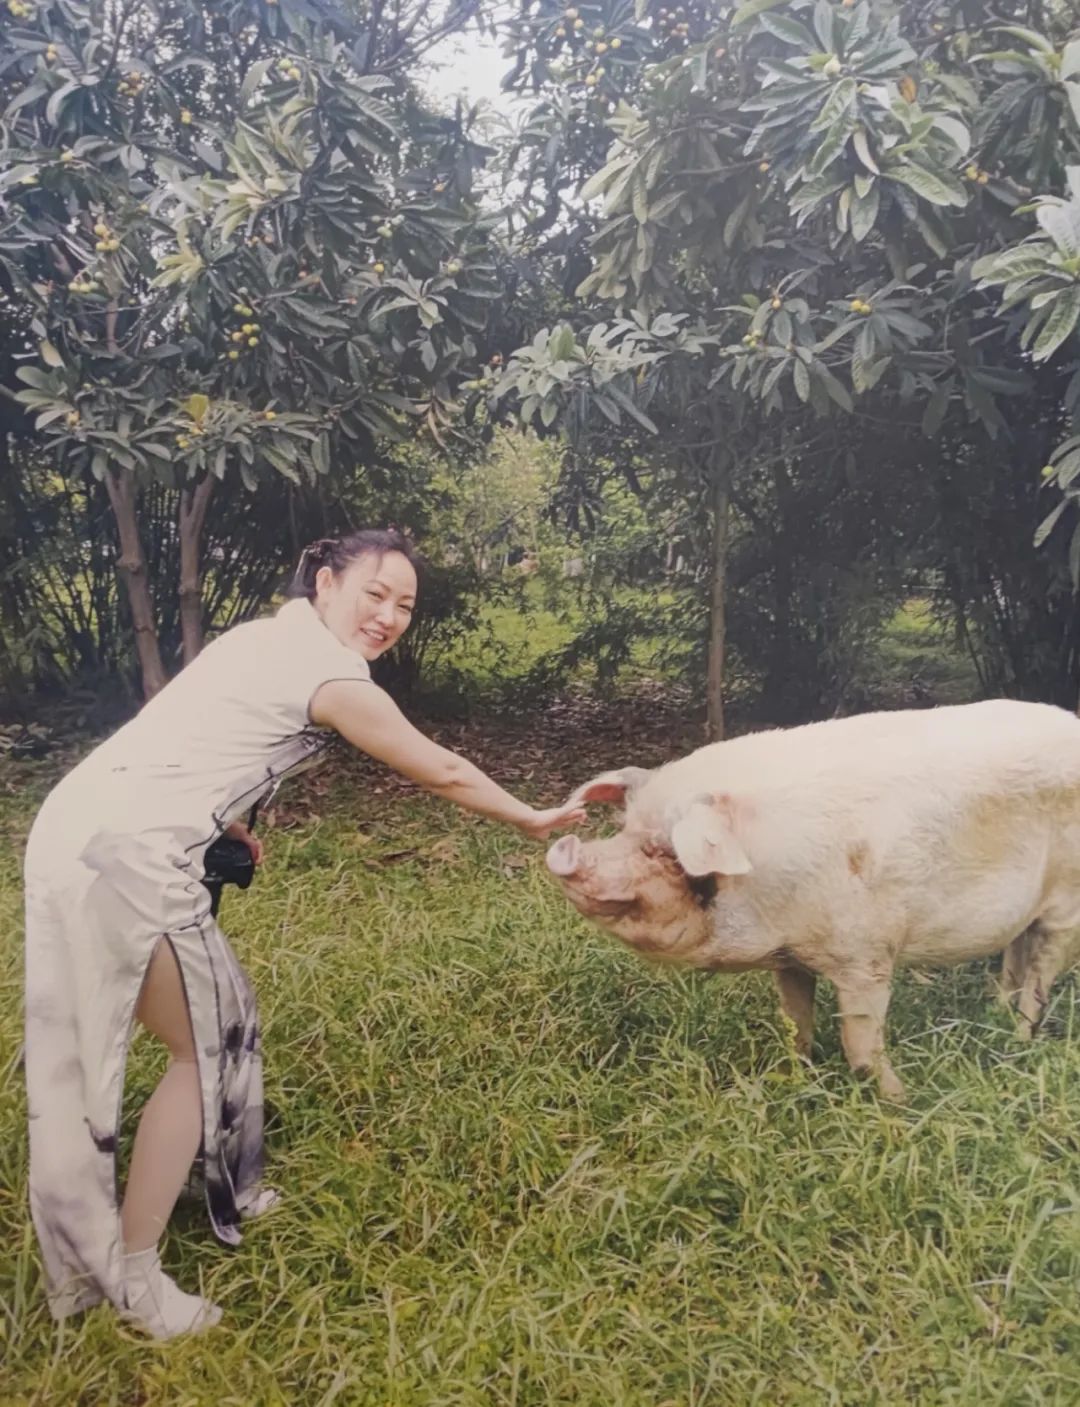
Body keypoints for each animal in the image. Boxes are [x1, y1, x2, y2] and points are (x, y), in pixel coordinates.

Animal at [548, 703, 1080, 1097]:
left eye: (663, 850)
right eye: (624, 828)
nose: (565, 850)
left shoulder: (866, 956)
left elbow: (860, 1044)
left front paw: (899, 1102)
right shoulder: (790, 958)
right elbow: (794, 1021)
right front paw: (792, 1076)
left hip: (1067, 908)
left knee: (1038, 981)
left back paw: (1017, 1046)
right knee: (1016, 956)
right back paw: (996, 1018)